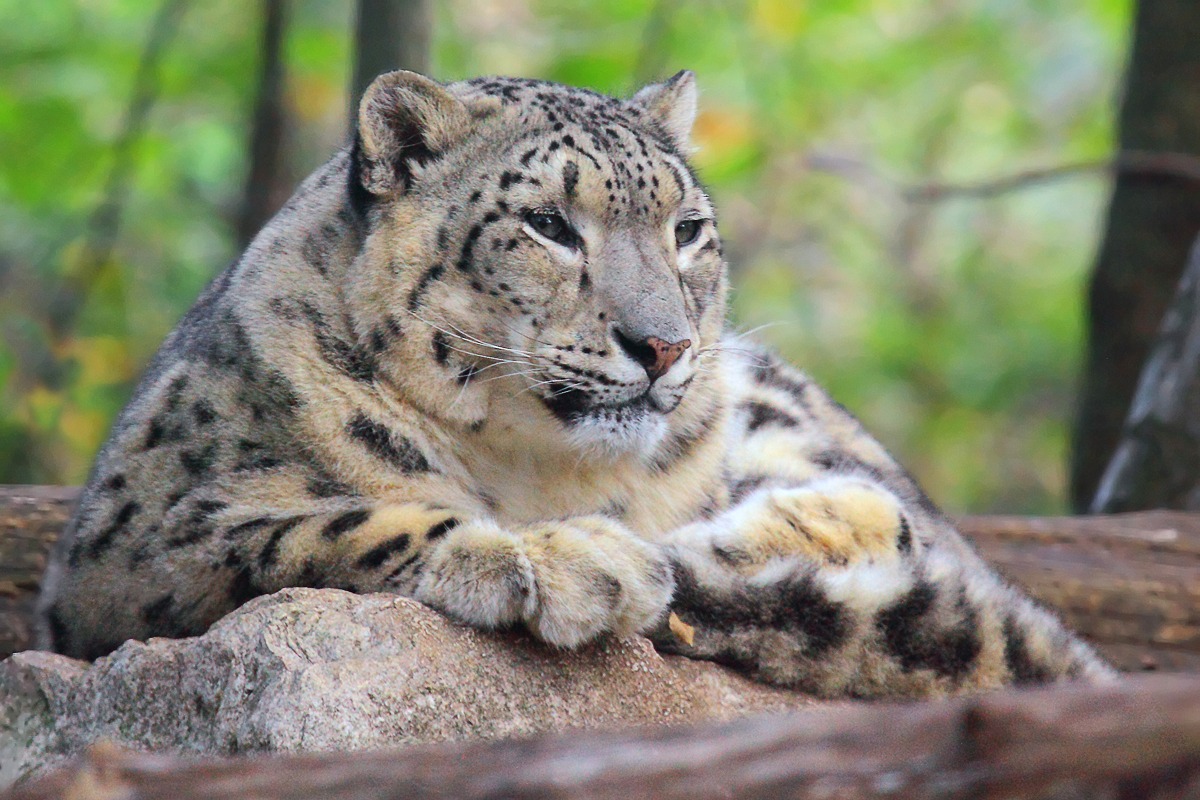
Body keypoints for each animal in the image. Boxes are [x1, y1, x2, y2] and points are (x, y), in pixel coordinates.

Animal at [34, 69, 1114, 698]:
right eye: (549, 225)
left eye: (688, 228)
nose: (663, 344)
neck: (545, 469)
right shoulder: (132, 544)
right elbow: (327, 520)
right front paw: (567, 560)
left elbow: (885, 519)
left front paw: (689, 547)